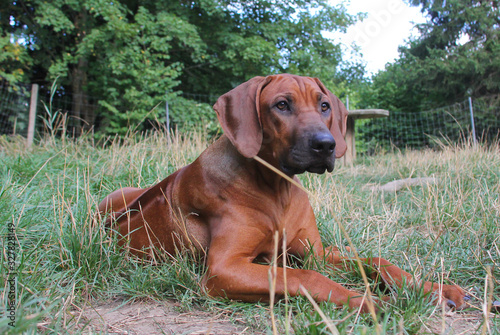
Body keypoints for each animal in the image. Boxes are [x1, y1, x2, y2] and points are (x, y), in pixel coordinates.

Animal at [99, 73, 466, 312]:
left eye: (324, 106)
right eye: (281, 105)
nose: (326, 145)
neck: (278, 190)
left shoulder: (316, 251)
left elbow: (374, 259)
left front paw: (432, 288)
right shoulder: (224, 268)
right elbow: (307, 277)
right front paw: (373, 301)